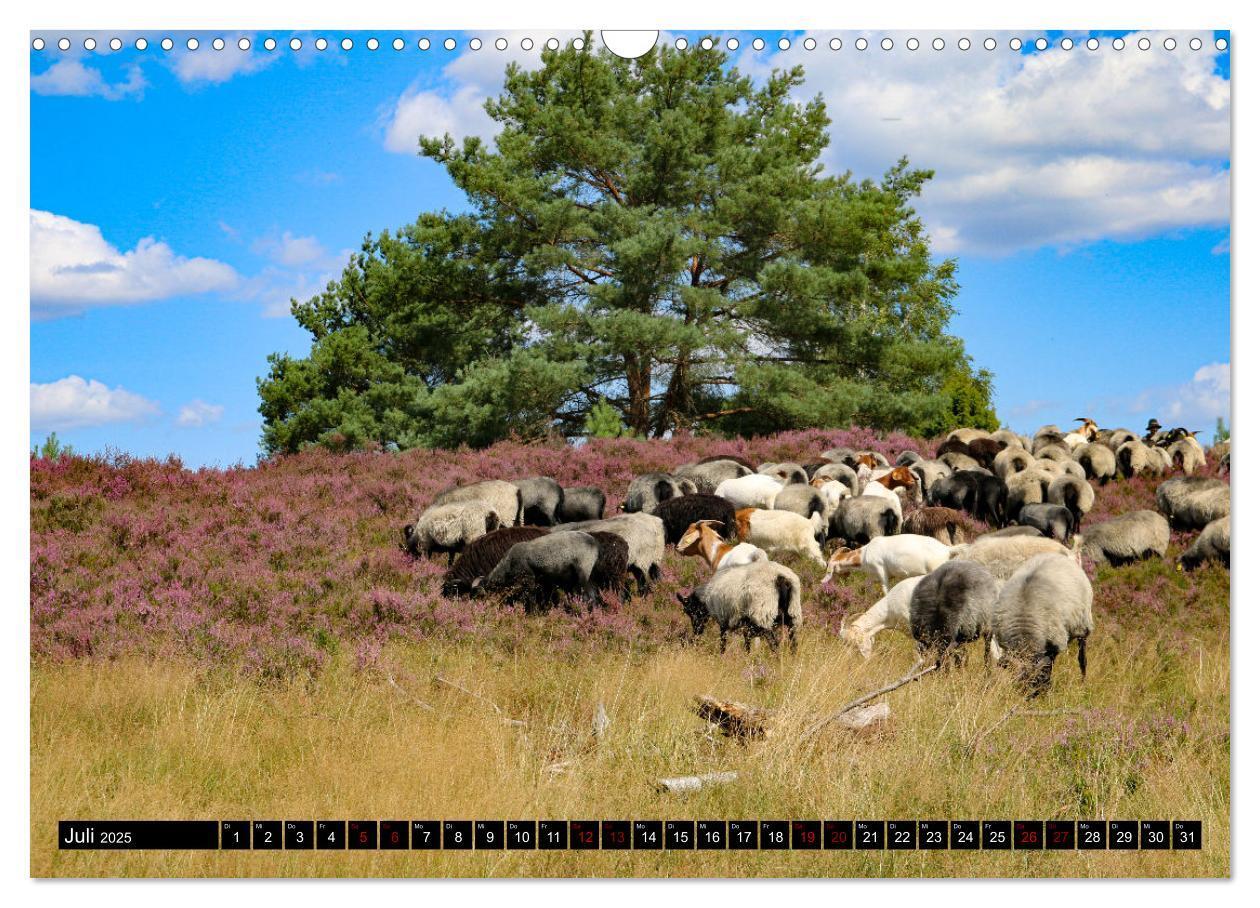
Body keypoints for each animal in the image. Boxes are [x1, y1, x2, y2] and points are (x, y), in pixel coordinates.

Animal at [476, 528, 604, 612]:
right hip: (586, 575)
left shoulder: (529, 579)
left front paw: (532, 612)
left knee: (586, 595)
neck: (508, 564)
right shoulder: (544, 581)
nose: (481, 609)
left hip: (583, 571)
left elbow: (530, 597)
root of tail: (594, 542)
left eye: (481, 596)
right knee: (592, 594)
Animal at [992, 551, 1093, 695]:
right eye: (1018, 681)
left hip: (1083, 626)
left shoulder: (1053, 644)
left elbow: (1048, 668)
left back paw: (1083, 681)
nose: (1026, 697)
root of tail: (1056, 555)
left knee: (1082, 657)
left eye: (1034, 681)